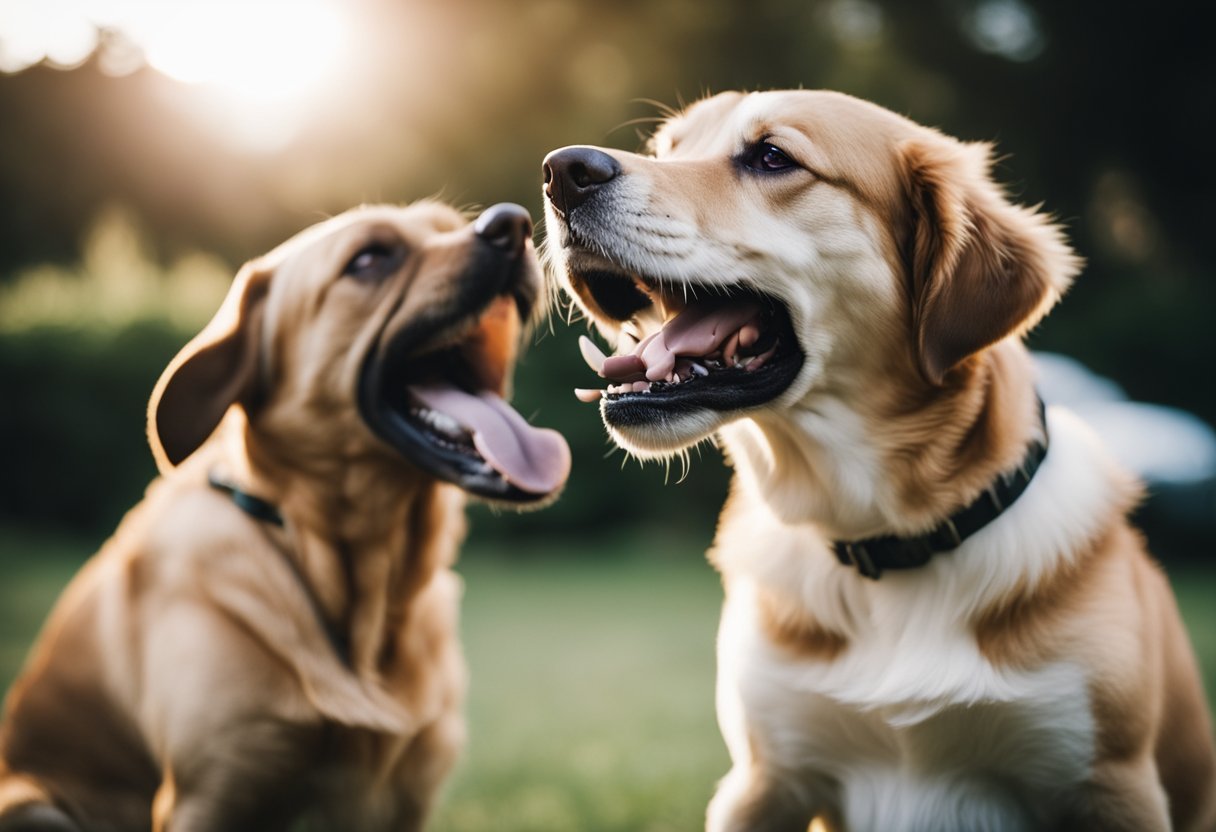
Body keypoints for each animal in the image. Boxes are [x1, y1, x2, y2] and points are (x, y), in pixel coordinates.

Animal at [544, 91, 1216, 832]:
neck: (889, 542)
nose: (561, 171)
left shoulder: (1111, 784)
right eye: (666, 150)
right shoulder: (763, 779)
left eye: (772, 156)